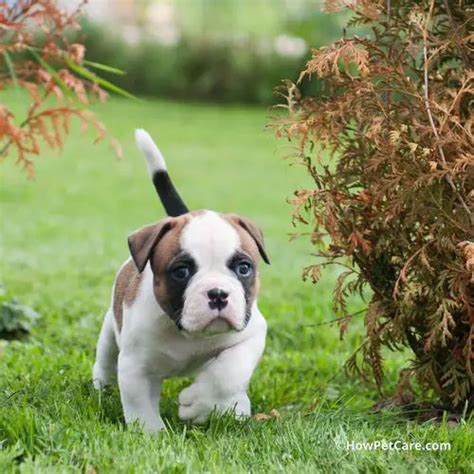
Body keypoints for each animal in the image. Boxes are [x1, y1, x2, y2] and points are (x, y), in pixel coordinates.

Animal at [92, 130, 268, 434]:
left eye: (244, 268)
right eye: (181, 272)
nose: (218, 293)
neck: (185, 332)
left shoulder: (251, 334)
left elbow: (228, 372)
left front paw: (198, 404)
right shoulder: (136, 367)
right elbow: (141, 408)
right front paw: (152, 436)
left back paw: (236, 408)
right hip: (109, 333)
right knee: (105, 358)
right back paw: (101, 385)